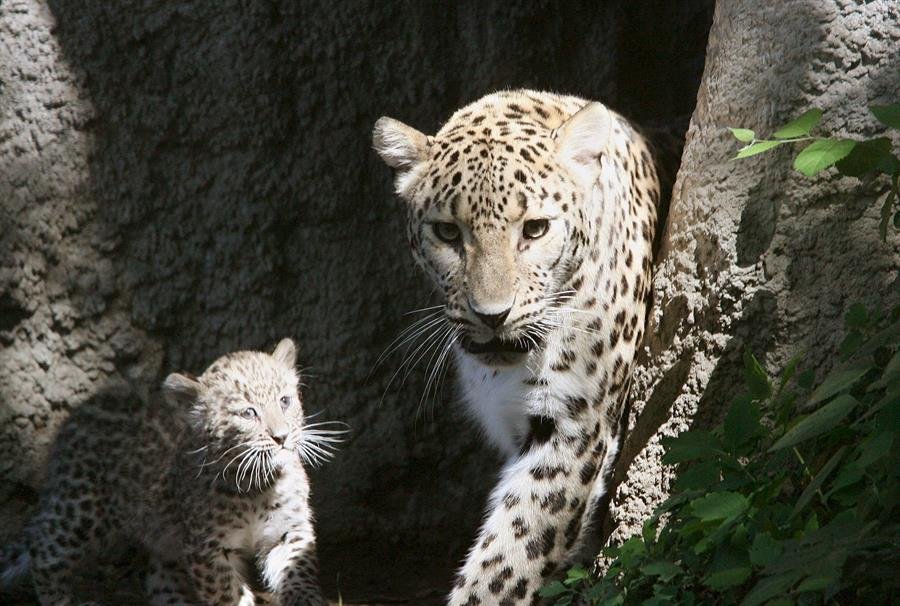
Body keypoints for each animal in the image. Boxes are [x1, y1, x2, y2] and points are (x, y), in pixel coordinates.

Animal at [1, 338, 338, 606]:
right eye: (248, 413)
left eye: (285, 401)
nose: (282, 437)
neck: (256, 486)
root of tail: (79, 411)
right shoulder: (208, 550)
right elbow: (228, 595)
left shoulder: (288, 531)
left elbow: (297, 573)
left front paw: (306, 600)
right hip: (80, 507)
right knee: (43, 548)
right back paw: (64, 598)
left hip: (163, 540)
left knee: (158, 579)